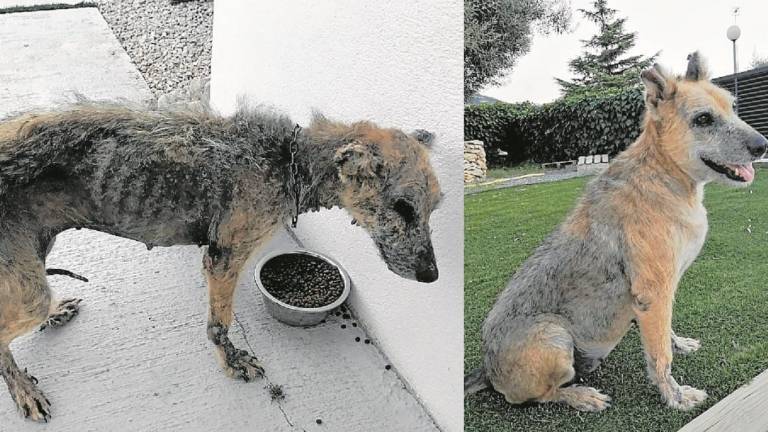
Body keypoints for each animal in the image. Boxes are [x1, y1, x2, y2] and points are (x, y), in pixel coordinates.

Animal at [0, 103, 440, 420]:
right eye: (402, 207)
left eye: (435, 206)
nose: (432, 275)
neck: (288, 161)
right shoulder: (225, 257)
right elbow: (219, 324)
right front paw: (233, 361)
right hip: (29, 288)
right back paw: (24, 388)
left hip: (34, 252)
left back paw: (55, 314)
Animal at [464, 53, 768, 412]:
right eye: (704, 119)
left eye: (733, 107)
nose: (762, 145)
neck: (663, 175)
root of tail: (486, 369)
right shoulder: (654, 292)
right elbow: (660, 357)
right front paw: (676, 397)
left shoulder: (658, 297)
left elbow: (664, 336)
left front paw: (679, 346)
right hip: (554, 336)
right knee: (543, 395)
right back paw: (581, 396)